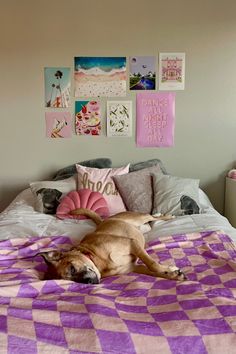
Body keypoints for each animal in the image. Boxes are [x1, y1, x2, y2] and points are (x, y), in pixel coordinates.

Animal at [41, 210, 188, 284]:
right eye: (73, 281)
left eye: (71, 269)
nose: (89, 282)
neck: (98, 260)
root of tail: (104, 220)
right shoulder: (134, 267)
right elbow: (153, 272)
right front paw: (174, 274)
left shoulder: (132, 243)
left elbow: (152, 264)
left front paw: (169, 270)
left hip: (138, 218)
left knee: (150, 216)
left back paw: (165, 215)